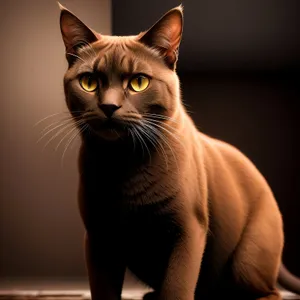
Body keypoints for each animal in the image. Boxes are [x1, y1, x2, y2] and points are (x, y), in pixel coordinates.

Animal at [56, 2, 300, 300]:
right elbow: (104, 289)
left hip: (248, 262)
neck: (125, 164)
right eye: (89, 82)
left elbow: (177, 286)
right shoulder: (99, 237)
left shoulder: (188, 228)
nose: (109, 106)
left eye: (139, 82)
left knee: (267, 290)